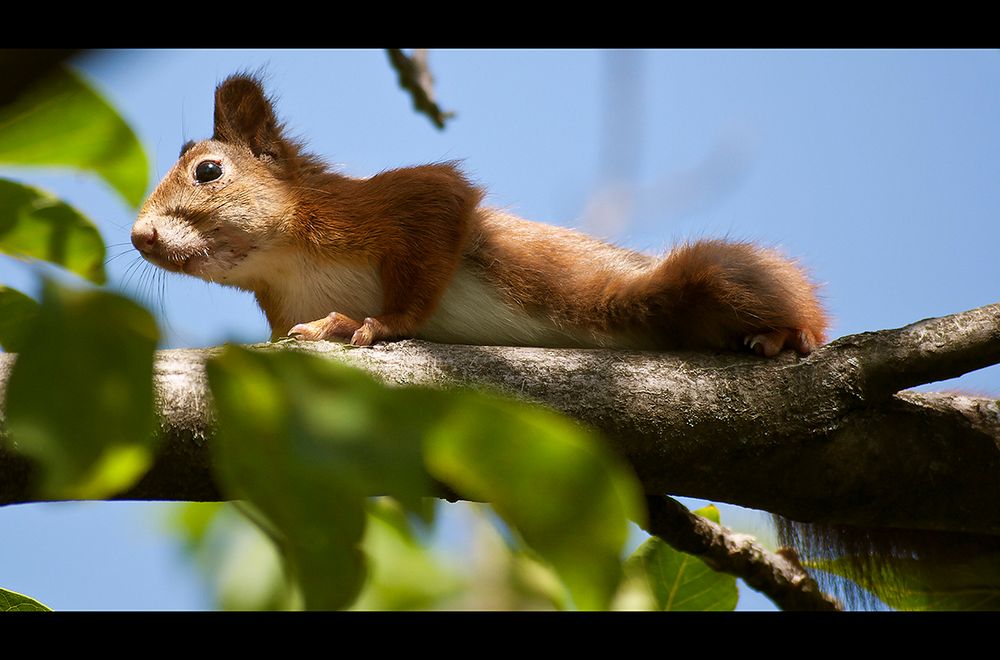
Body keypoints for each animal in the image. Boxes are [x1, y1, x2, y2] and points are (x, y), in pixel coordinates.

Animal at [129, 73, 828, 356]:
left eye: (208, 171)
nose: (138, 236)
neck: (286, 264)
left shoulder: (387, 205)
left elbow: (437, 221)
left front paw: (376, 323)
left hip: (712, 279)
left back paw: (788, 335)